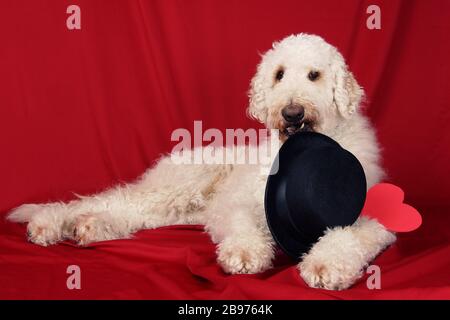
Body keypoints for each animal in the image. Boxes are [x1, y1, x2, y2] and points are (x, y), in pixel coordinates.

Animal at [7, 34, 394, 290]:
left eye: (315, 75)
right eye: (279, 74)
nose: (292, 112)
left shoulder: (377, 218)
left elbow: (349, 235)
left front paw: (326, 263)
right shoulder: (237, 205)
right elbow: (242, 225)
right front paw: (244, 252)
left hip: (177, 211)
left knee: (128, 212)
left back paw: (90, 227)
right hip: (181, 185)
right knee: (108, 199)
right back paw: (51, 223)